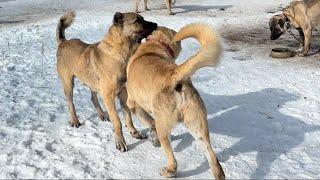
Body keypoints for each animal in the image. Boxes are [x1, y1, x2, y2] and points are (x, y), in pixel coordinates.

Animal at [125, 23, 225, 179]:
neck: (156, 45)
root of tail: (174, 75)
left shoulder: (133, 103)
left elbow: (149, 121)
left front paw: (153, 139)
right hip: (198, 128)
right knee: (214, 161)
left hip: (164, 127)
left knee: (173, 160)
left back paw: (168, 171)